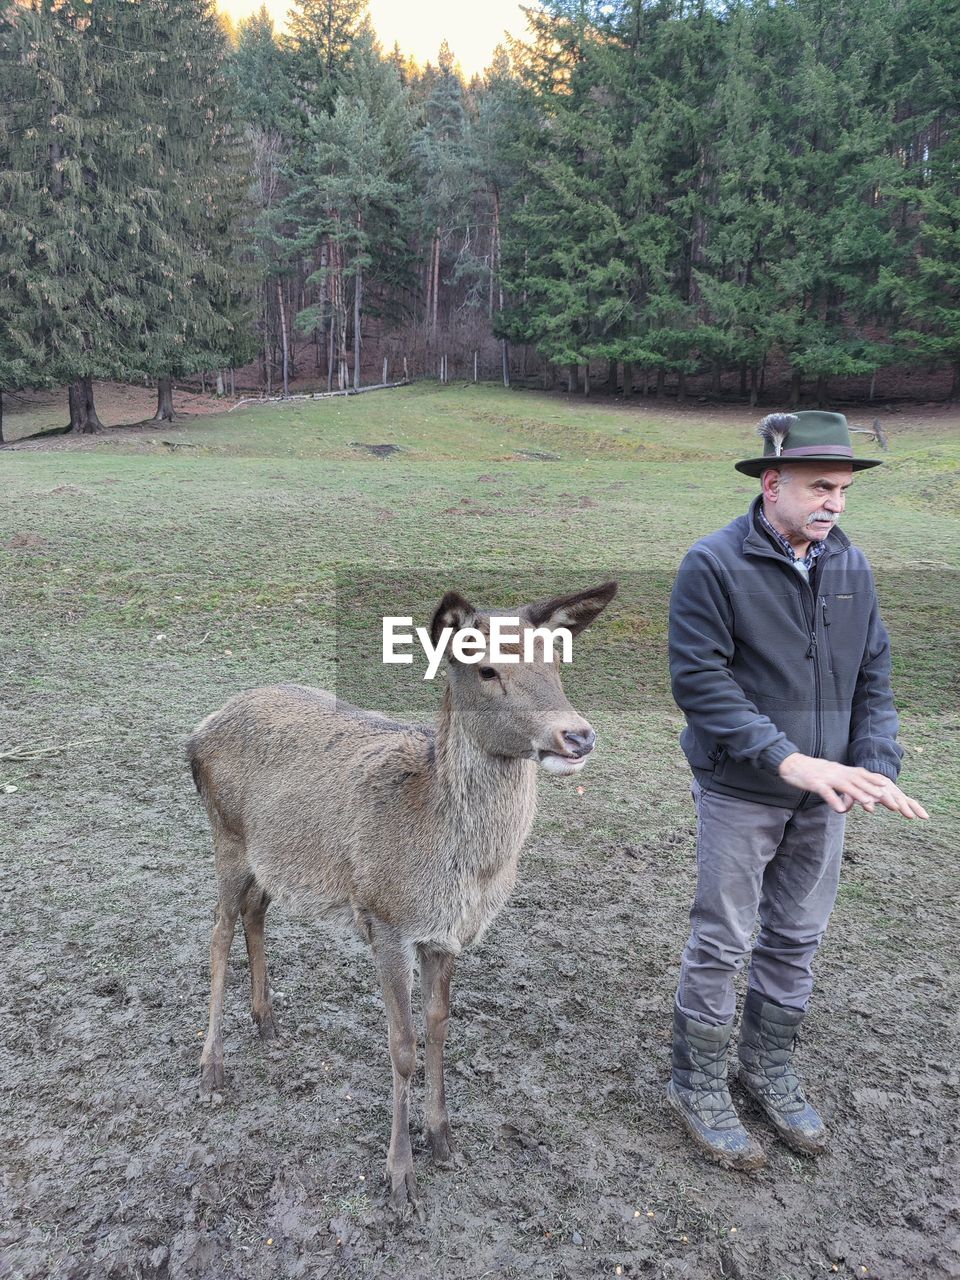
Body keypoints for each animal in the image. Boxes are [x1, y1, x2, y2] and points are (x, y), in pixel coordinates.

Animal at [189, 583, 616, 1218]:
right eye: (487, 669)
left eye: (557, 663)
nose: (577, 735)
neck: (457, 869)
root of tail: (196, 734)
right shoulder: (386, 918)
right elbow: (403, 1045)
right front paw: (399, 1175)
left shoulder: (448, 934)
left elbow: (439, 1029)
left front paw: (443, 1139)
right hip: (227, 836)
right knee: (217, 930)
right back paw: (212, 1066)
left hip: (273, 859)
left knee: (253, 913)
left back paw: (267, 1021)